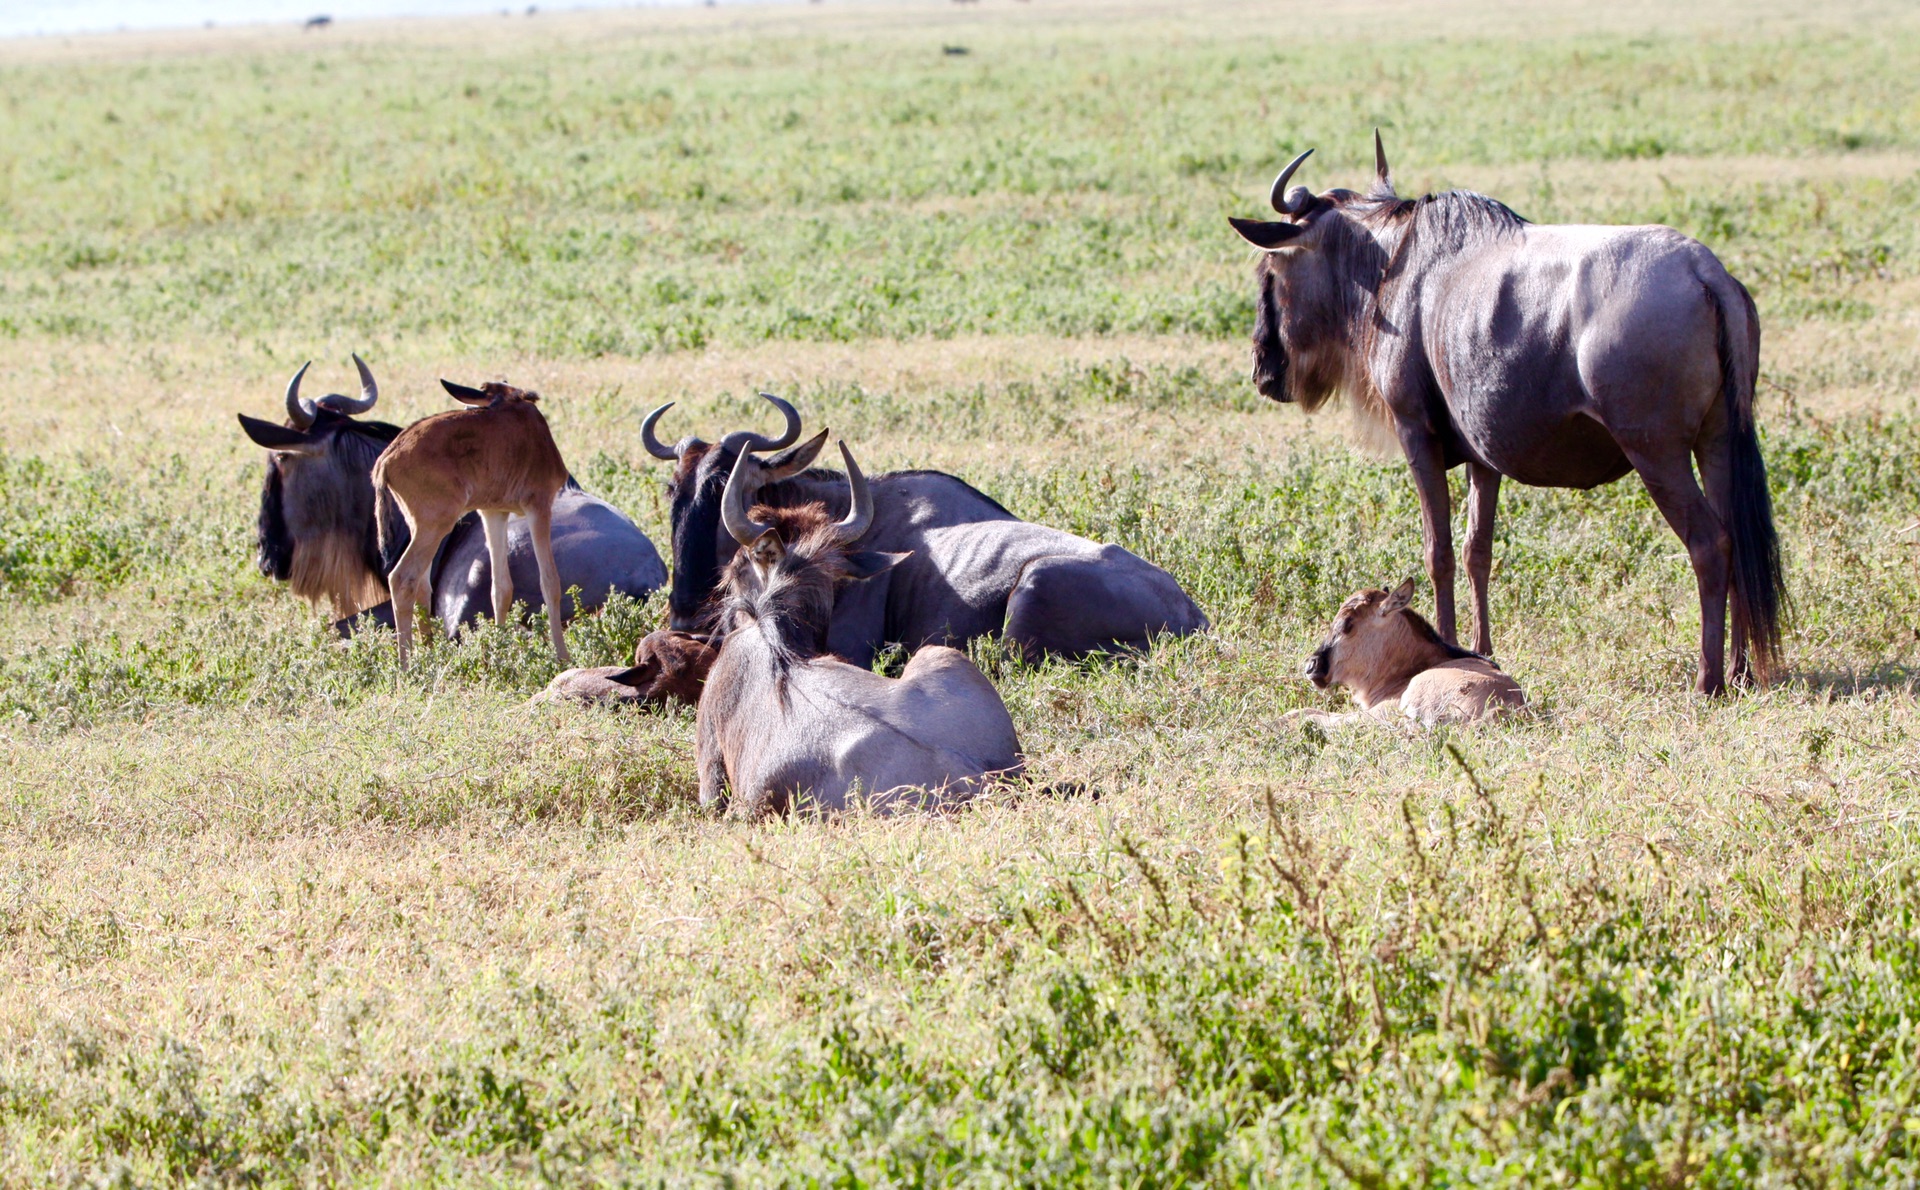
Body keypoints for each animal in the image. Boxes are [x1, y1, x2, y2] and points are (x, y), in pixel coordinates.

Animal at [370, 378, 568, 664]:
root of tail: (386, 459)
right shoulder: (539, 507)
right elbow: (550, 581)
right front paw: (563, 657)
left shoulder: (494, 513)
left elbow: (501, 588)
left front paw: (500, 650)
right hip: (435, 526)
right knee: (402, 579)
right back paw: (406, 666)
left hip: (423, 528)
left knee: (421, 584)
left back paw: (430, 651)